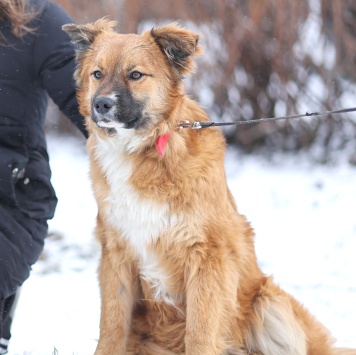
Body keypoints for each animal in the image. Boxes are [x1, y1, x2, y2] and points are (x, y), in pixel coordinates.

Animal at [62, 19, 354, 355]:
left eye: (135, 75)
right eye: (97, 74)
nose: (101, 104)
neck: (145, 149)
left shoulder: (206, 254)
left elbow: (200, 332)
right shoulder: (116, 253)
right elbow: (111, 328)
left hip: (270, 306)